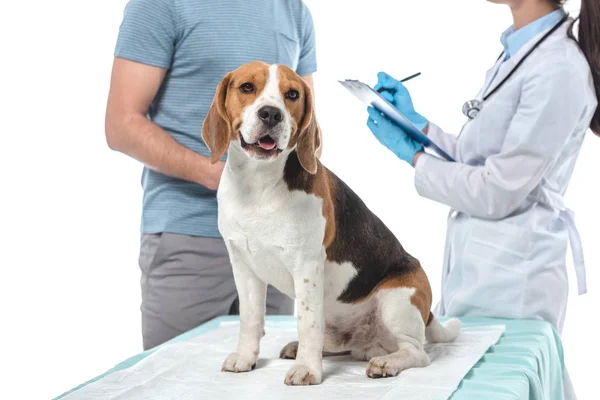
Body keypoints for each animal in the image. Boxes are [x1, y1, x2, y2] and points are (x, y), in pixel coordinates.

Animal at [202, 61, 460, 384]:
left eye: (292, 94)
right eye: (247, 87)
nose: (271, 114)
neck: (258, 185)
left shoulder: (307, 266)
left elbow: (307, 322)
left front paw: (307, 369)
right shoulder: (243, 266)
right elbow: (249, 319)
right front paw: (246, 358)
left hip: (397, 301)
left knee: (417, 353)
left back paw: (386, 363)